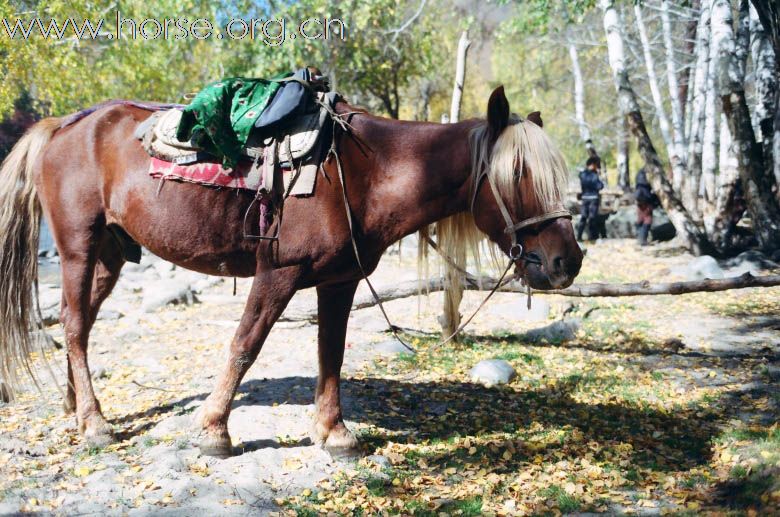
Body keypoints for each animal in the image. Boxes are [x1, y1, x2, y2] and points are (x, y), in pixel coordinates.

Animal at [0, 86, 580, 458]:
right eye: (518, 172)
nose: (566, 261)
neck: (367, 173)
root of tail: (64, 124)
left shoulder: (340, 281)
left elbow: (331, 353)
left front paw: (334, 433)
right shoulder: (277, 273)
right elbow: (245, 344)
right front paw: (214, 431)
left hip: (111, 254)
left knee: (80, 323)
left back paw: (77, 407)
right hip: (78, 246)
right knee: (75, 324)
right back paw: (96, 423)